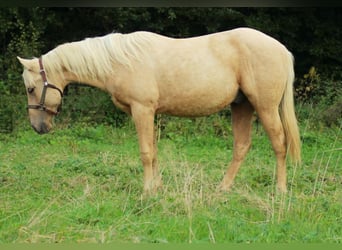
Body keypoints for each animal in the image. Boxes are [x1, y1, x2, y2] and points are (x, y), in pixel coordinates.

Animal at [17, 28, 300, 194]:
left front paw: (146, 191)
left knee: (279, 143)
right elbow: (153, 151)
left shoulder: (142, 110)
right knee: (241, 146)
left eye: (31, 88)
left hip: (265, 107)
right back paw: (222, 188)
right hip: (242, 106)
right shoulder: (149, 113)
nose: (38, 127)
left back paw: (280, 189)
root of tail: (281, 49)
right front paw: (157, 187)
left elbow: (145, 152)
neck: (120, 61)